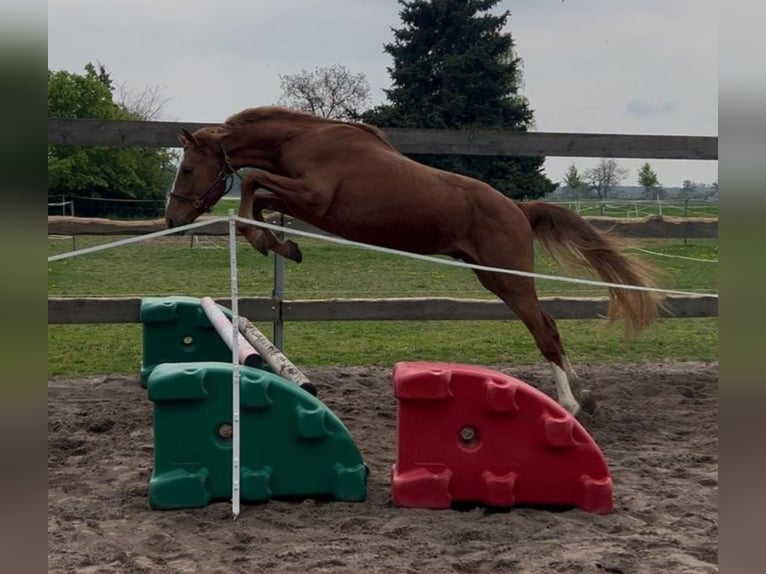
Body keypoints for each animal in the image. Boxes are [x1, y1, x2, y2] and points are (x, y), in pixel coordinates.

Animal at [165, 106, 662, 416]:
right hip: (494, 278)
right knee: (550, 326)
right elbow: (260, 196)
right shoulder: (301, 199)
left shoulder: (315, 196)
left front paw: (267, 241)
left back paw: (572, 403)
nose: (172, 217)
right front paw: (279, 243)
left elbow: (253, 184)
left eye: (187, 169)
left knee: (544, 330)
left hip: (509, 280)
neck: (303, 138)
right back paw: (584, 395)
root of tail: (519, 210)